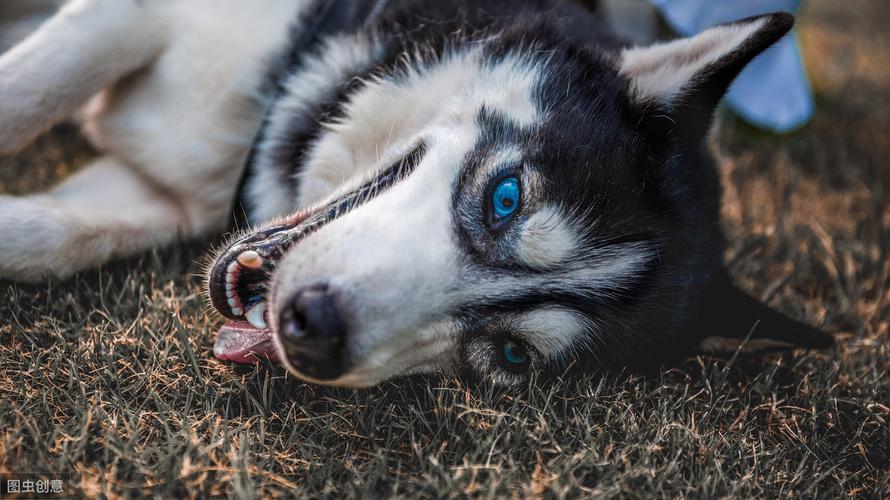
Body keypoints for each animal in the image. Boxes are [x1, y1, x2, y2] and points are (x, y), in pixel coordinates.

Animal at [3, 0, 828, 386]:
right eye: (505, 198)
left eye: (511, 353)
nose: (312, 329)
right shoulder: (129, 18)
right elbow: (25, 93)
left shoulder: (161, 193)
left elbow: (52, 237)